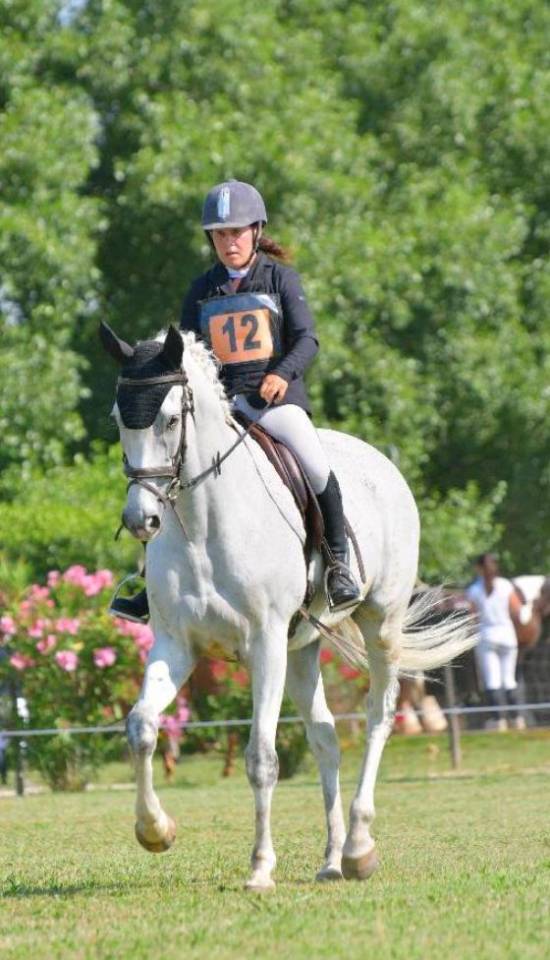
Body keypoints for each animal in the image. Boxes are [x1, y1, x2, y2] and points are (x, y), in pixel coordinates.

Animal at [100, 321, 475, 891]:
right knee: (325, 736)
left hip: (378, 623)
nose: (141, 519)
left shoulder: (265, 644)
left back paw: (360, 848)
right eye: (120, 420)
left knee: (378, 715)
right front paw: (155, 831)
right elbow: (141, 726)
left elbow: (262, 757)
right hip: (303, 648)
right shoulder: (176, 645)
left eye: (170, 419)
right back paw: (332, 858)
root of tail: (379, 461)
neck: (203, 526)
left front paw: (260, 868)